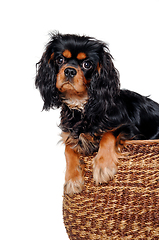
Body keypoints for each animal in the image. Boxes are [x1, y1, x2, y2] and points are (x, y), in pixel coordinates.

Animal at [35, 32, 159, 195]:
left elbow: (108, 135)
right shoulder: (70, 135)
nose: (69, 70)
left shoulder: (131, 129)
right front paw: (72, 180)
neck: (82, 105)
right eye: (60, 59)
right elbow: (68, 149)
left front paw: (103, 166)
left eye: (87, 64)